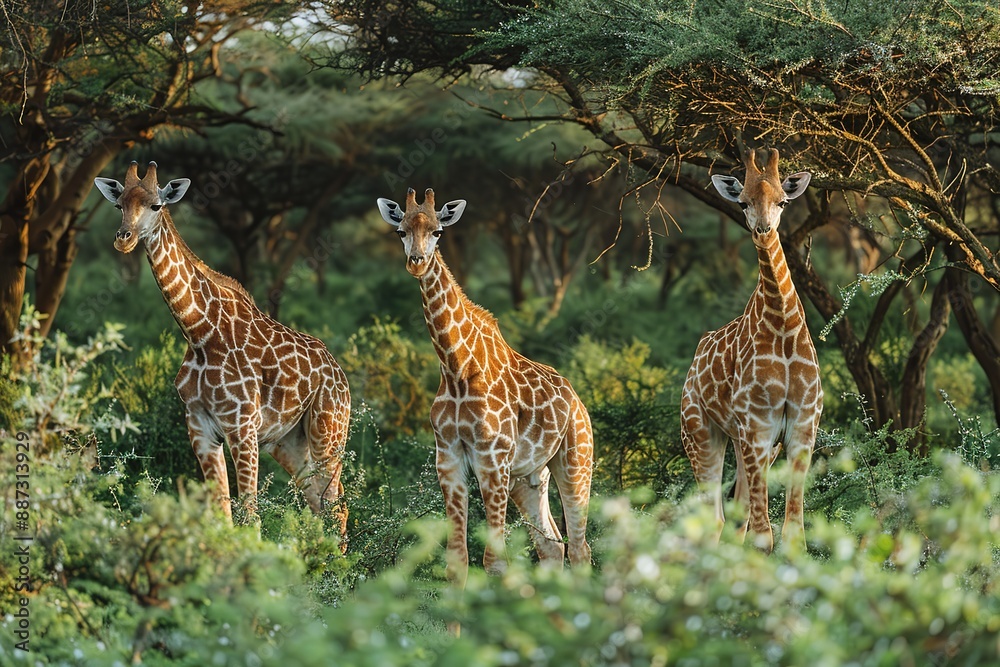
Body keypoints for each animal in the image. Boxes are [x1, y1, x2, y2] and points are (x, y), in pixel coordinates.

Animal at [94, 162, 351, 544]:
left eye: (156, 205)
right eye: (118, 204)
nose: (123, 238)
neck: (199, 334)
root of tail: (341, 375)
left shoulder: (242, 427)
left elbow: (251, 518)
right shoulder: (200, 428)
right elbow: (221, 515)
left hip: (328, 432)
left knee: (336, 505)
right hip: (289, 442)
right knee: (319, 501)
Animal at [376, 187, 594, 587]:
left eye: (438, 231)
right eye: (400, 230)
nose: (416, 262)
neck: (457, 369)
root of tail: (578, 401)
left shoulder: (492, 460)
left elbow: (495, 561)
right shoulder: (448, 459)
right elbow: (456, 561)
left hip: (575, 461)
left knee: (580, 547)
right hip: (529, 477)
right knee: (552, 546)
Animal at [680, 148, 822, 554]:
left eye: (783, 200)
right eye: (743, 202)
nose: (763, 229)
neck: (784, 330)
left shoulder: (802, 425)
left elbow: (793, 533)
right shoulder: (757, 425)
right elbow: (763, 536)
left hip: (747, 442)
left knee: (735, 513)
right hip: (700, 432)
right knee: (713, 517)